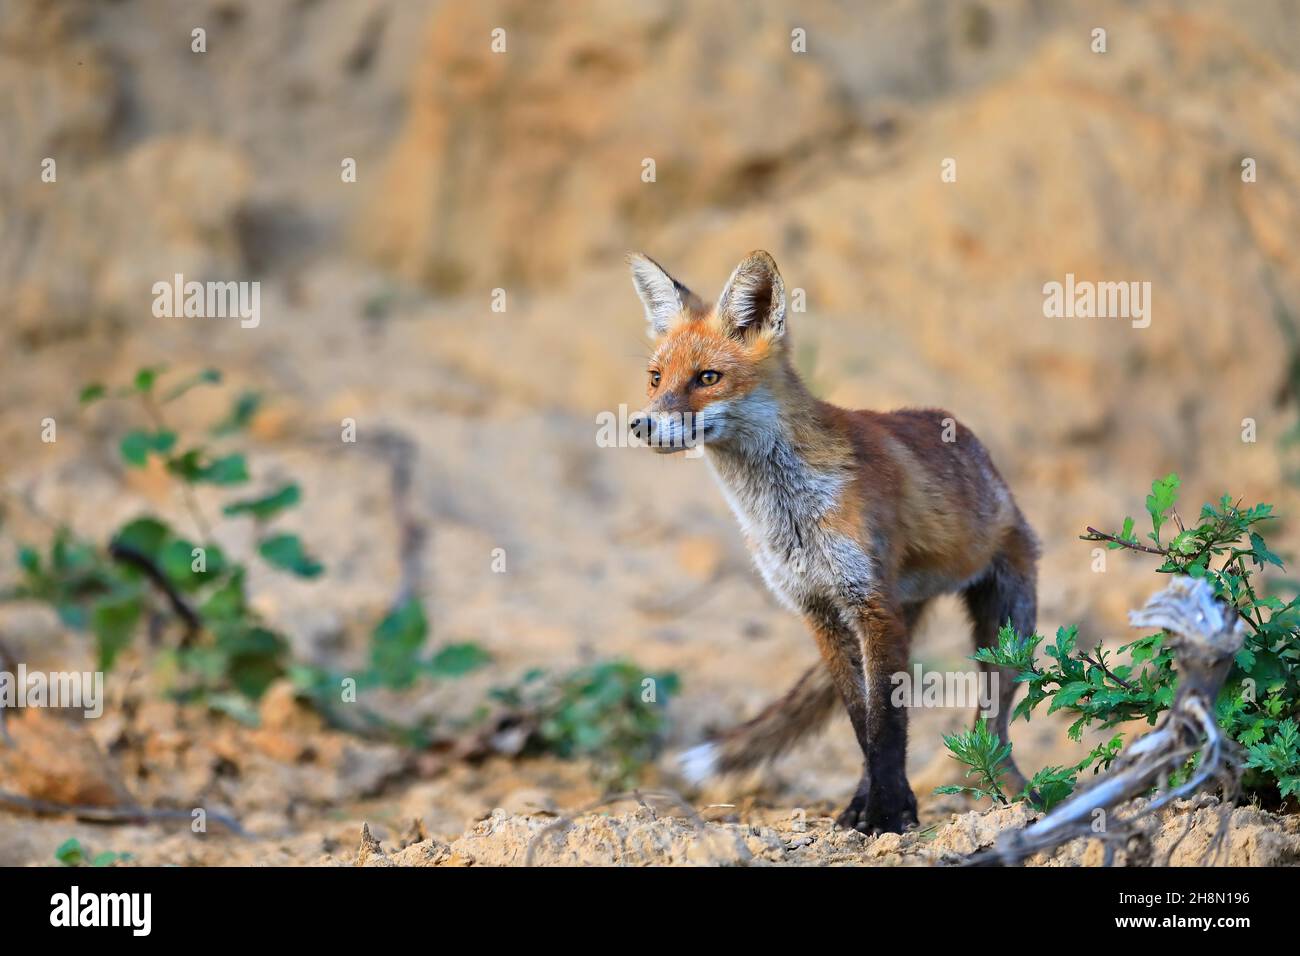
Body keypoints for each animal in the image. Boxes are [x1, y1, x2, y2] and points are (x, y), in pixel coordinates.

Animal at [624, 251, 1040, 832]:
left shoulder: (871, 606)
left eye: (708, 378)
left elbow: (886, 728)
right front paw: (874, 807)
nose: (641, 424)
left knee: (995, 725)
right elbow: (861, 723)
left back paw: (1016, 796)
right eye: (656, 378)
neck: (784, 513)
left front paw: (889, 816)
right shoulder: (819, 610)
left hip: (1005, 631)